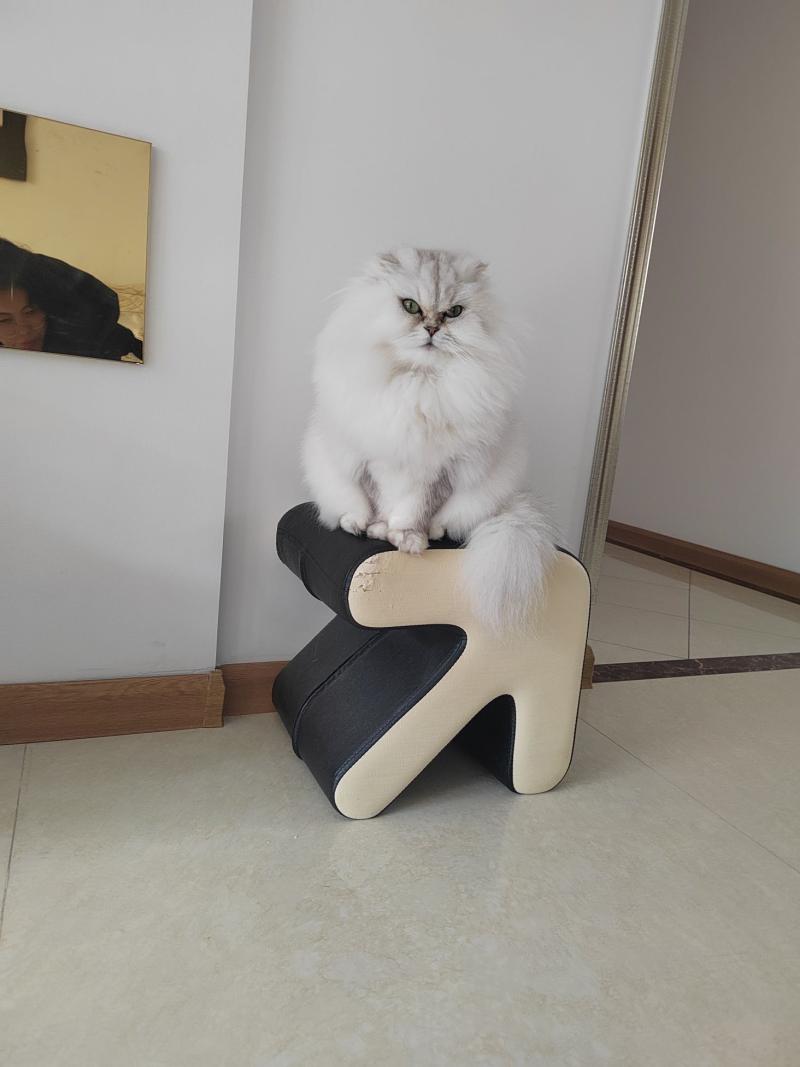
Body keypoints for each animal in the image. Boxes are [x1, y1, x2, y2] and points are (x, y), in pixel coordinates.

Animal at [303, 246, 557, 633]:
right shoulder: (372, 460)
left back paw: (433, 532)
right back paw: (355, 523)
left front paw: (407, 540)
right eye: (410, 306)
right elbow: (379, 504)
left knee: (447, 521)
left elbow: (415, 510)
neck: (419, 383)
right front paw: (379, 531)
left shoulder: (441, 470)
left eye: (454, 312)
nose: (433, 328)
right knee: (346, 511)